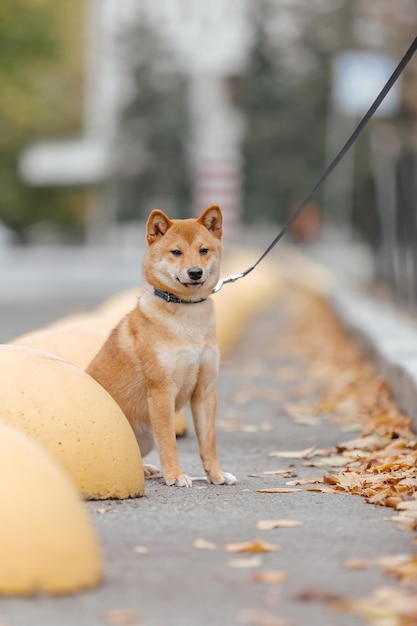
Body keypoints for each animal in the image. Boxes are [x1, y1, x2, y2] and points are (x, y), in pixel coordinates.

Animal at [87, 206, 237, 488]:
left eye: (203, 250)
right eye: (176, 252)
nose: (195, 272)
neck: (188, 315)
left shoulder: (204, 390)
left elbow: (208, 442)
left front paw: (216, 474)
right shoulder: (162, 391)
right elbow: (169, 442)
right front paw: (176, 476)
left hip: (145, 437)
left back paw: (146, 470)